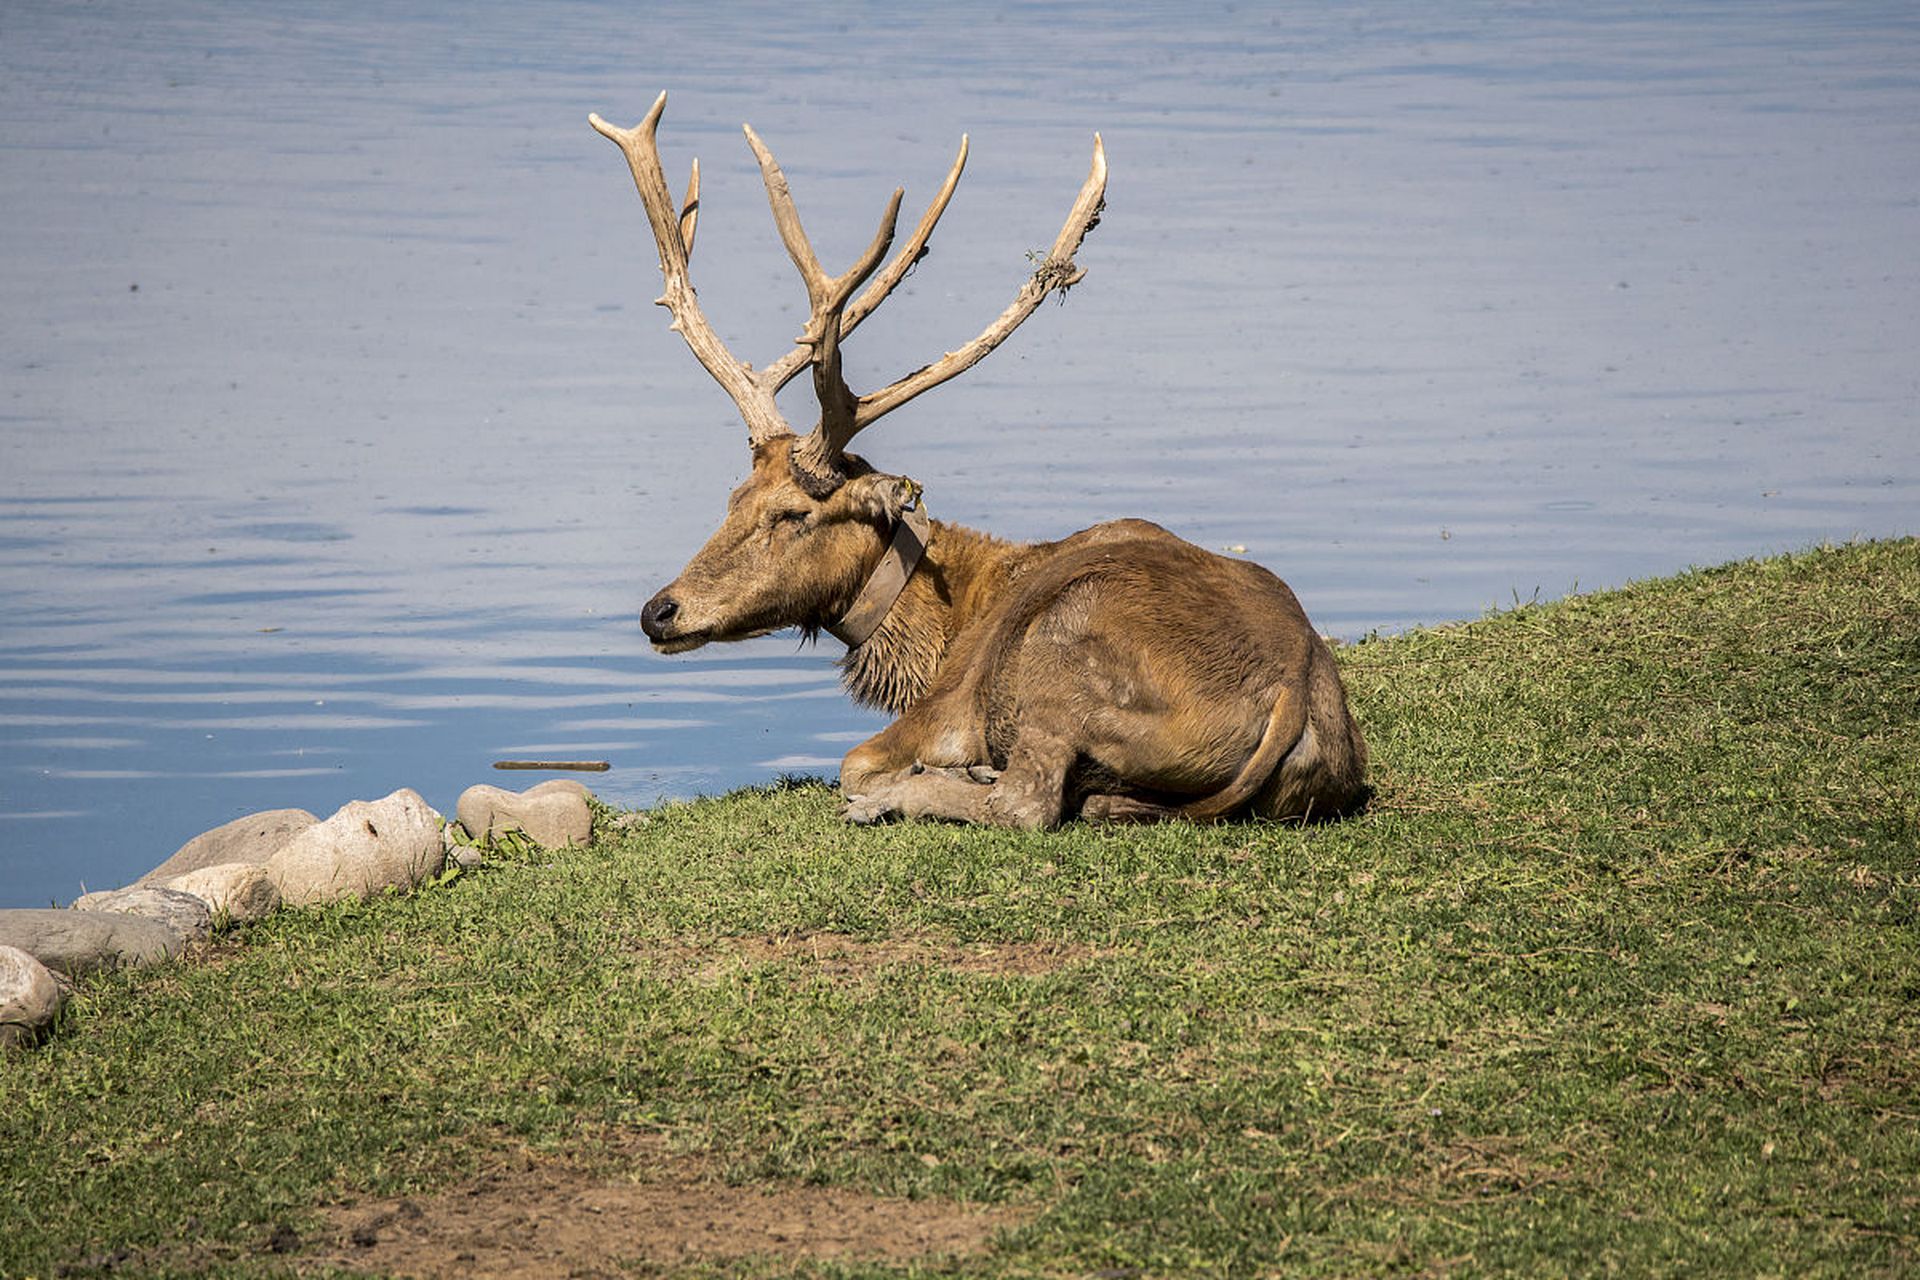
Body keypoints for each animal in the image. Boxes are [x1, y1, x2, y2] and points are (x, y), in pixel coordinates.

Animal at [589, 93, 1367, 830]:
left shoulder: (946, 708)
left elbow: (854, 760)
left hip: (1061, 660)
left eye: (792, 514)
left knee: (1025, 803)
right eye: (732, 498)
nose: (659, 611)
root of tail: (1294, 695)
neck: (942, 622)